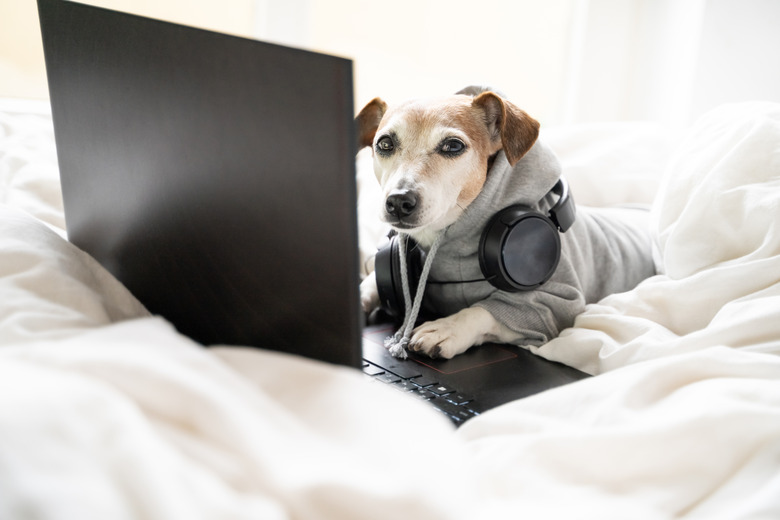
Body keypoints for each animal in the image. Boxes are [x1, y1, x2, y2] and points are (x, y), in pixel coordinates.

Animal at [356, 87, 656, 360]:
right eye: (385, 144)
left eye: (453, 146)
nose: (398, 202)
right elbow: (371, 281)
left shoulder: (557, 306)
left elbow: (483, 311)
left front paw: (446, 328)